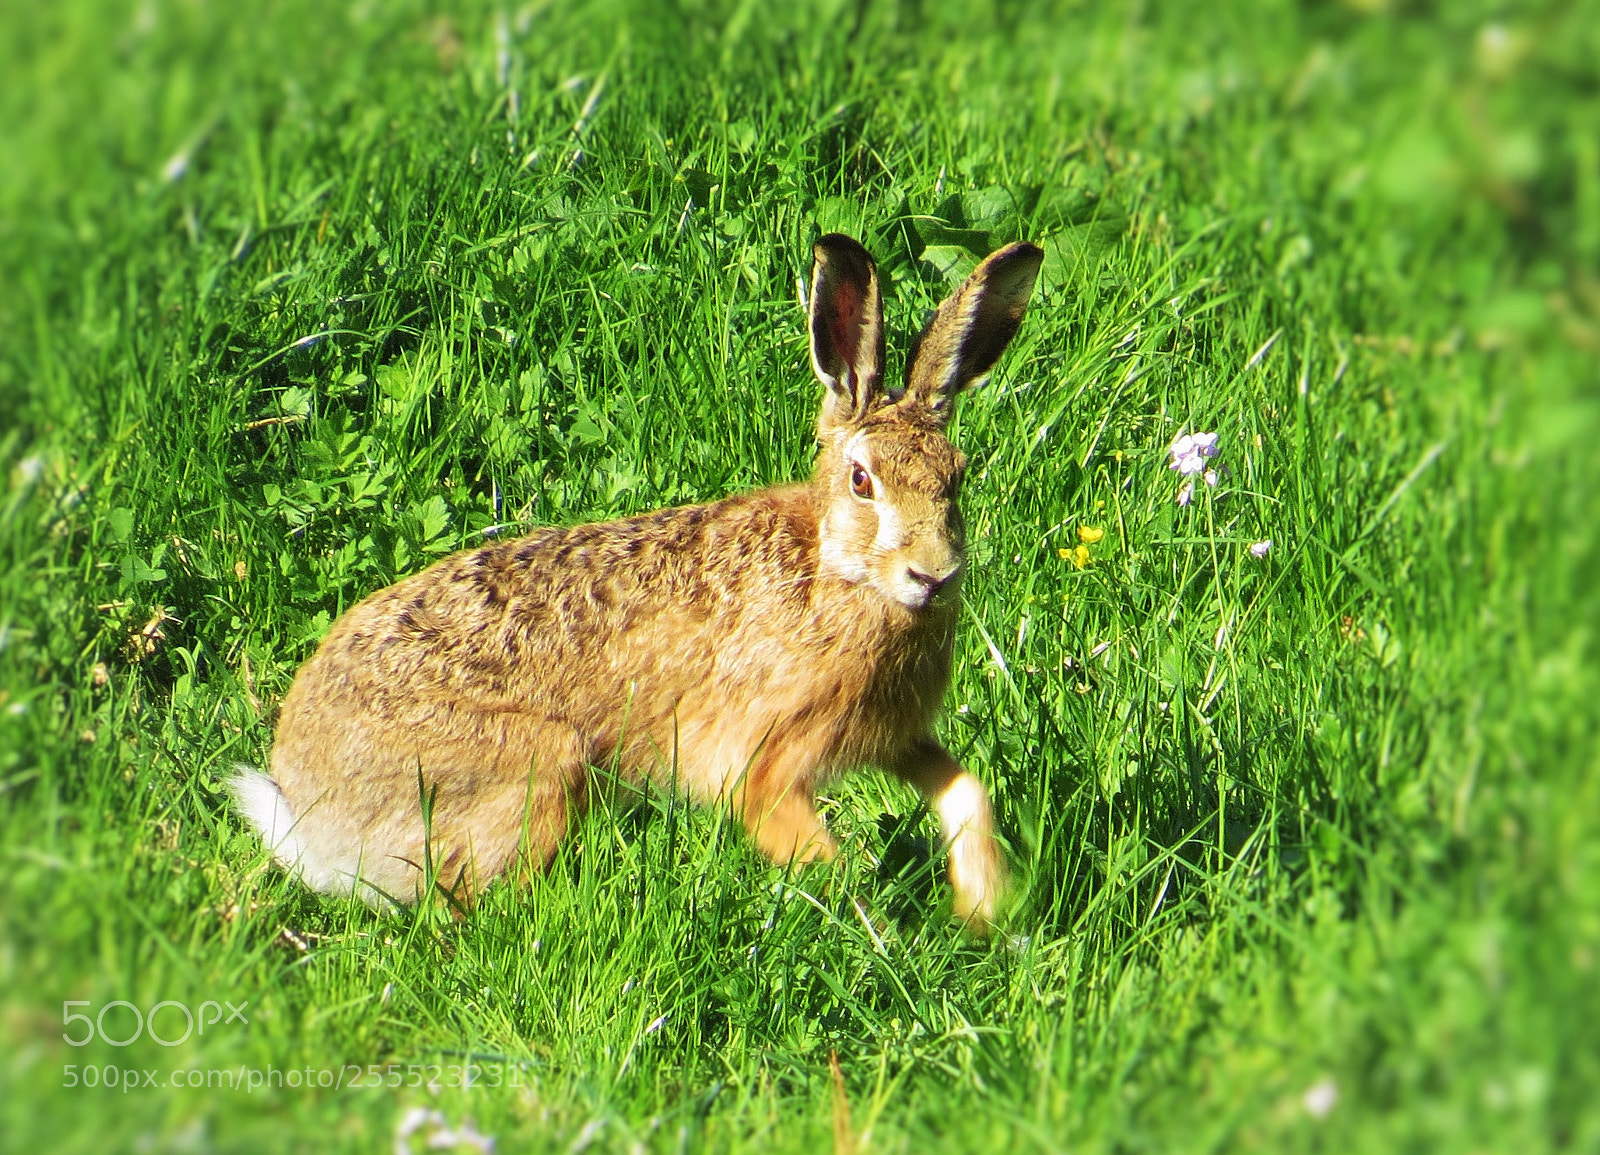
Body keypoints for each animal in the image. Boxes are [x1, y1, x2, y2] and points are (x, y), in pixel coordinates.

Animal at [231, 233, 1043, 931]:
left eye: (958, 478)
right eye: (862, 480)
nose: (933, 574)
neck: (835, 573)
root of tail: (309, 809)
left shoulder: (891, 735)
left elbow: (965, 790)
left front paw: (984, 913)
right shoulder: (768, 760)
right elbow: (818, 854)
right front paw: (895, 940)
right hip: (538, 766)